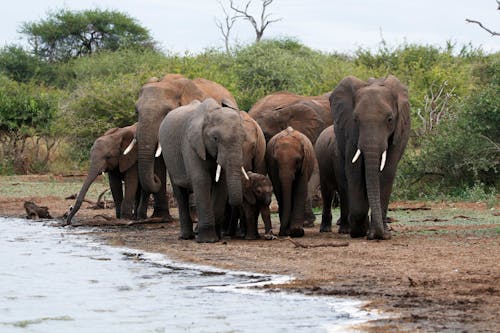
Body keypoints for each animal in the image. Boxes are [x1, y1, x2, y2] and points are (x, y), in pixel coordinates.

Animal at [158, 98, 246, 241]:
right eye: (215, 139)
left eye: (244, 139)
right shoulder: (191, 144)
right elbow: (202, 180)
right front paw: (207, 240)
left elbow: (221, 184)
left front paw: (216, 237)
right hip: (169, 157)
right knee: (180, 194)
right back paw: (186, 236)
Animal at [328, 75, 410, 239]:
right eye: (355, 119)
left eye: (390, 119)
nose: (379, 235)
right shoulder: (350, 132)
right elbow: (353, 169)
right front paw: (358, 231)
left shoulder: (399, 133)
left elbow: (387, 172)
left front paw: (380, 234)